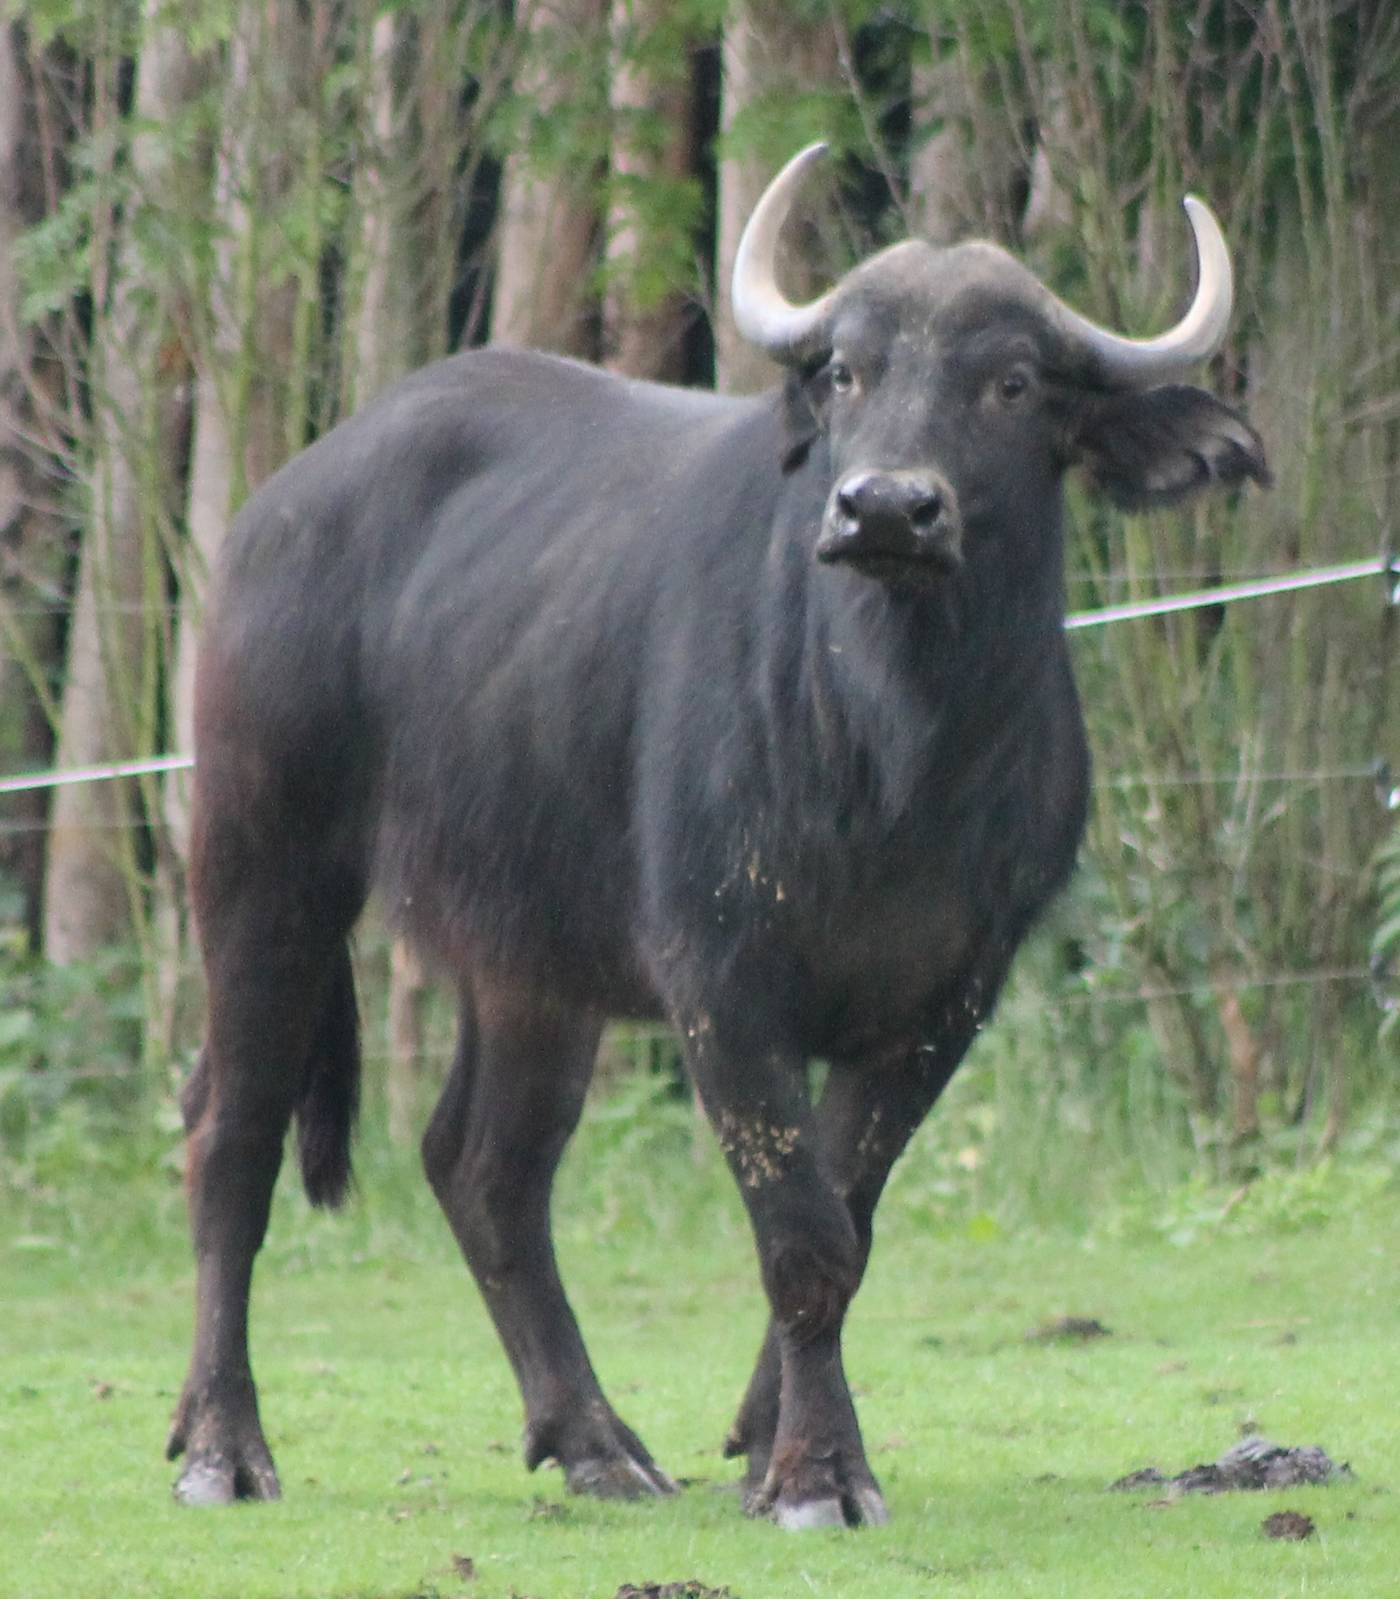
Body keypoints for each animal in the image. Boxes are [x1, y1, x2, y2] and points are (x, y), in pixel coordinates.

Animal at [168, 144, 1267, 1527]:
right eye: (846, 370)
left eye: (1011, 382)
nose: (885, 508)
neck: (895, 756)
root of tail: (279, 511)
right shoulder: (719, 978)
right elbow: (800, 1236)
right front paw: (813, 1474)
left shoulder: (947, 1000)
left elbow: (848, 1220)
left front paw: (764, 1435)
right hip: (262, 863)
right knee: (231, 1138)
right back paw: (222, 1447)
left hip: (530, 958)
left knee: (484, 1168)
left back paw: (592, 1440)